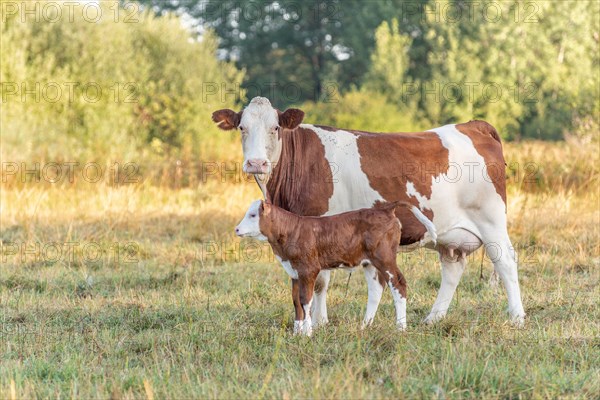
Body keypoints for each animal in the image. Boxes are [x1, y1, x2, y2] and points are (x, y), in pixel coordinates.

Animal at [233, 199, 436, 334]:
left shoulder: (308, 269)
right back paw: (364, 326)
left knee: (398, 284)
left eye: (253, 215)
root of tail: (386, 210)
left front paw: (307, 333)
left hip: (385, 257)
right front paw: (297, 331)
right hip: (370, 262)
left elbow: (305, 300)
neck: (290, 231)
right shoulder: (294, 271)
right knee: (376, 288)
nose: (236, 229)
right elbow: (296, 301)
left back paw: (400, 327)